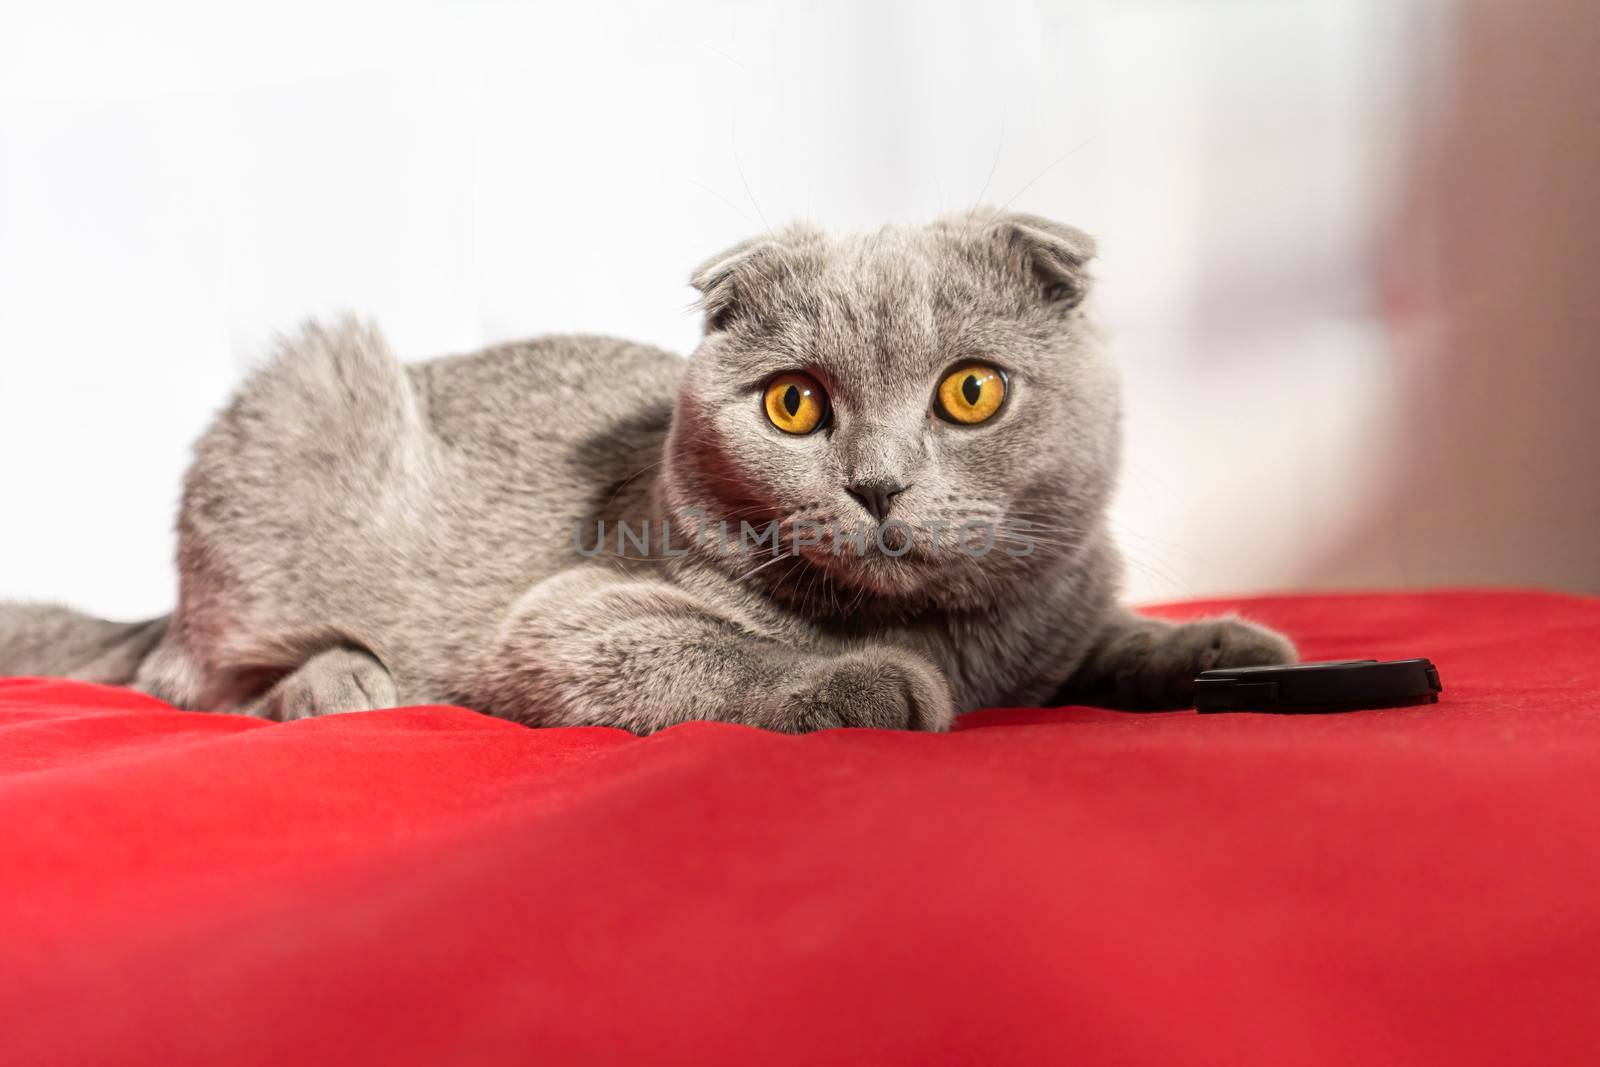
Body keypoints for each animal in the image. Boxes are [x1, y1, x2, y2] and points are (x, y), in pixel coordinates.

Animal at [0, 212, 1299, 739]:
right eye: (795, 404)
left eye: (970, 392)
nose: (877, 484)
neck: (954, 635)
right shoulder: (569, 615)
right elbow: (713, 649)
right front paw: (865, 683)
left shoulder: (1056, 615)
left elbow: (1102, 644)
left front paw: (1221, 645)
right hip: (297, 419)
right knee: (187, 678)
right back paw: (341, 683)